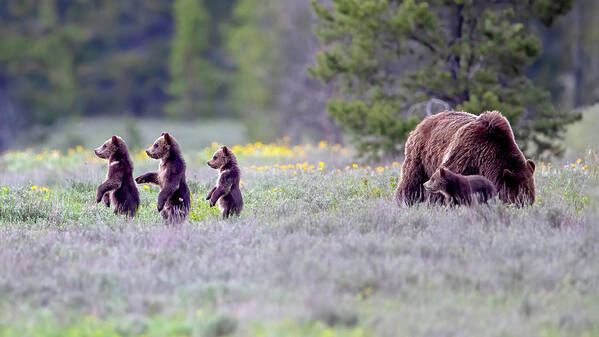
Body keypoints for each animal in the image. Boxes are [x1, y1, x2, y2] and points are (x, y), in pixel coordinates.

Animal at [396, 110, 536, 205]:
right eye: (519, 199)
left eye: (530, 199)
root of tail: (425, 120)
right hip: (419, 156)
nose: (524, 205)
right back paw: (402, 202)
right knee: (412, 181)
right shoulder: (465, 155)